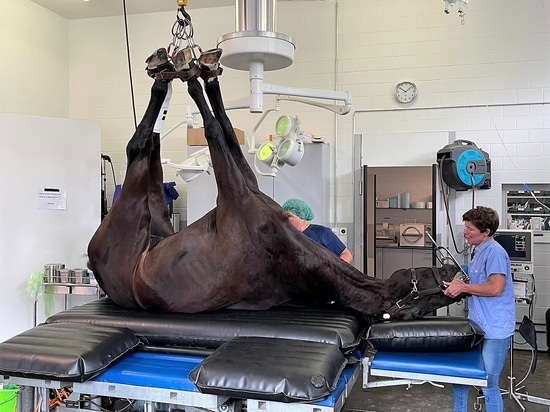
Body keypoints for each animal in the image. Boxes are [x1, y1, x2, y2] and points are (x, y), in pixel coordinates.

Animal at [88, 48, 464, 324]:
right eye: (429, 293)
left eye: (423, 304)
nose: (455, 271)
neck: (298, 261)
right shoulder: (248, 184)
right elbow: (227, 129)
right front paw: (205, 71)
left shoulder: (236, 194)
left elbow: (214, 129)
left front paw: (194, 76)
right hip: (153, 218)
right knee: (150, 147)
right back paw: (165, 64)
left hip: (132, 214)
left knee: (140, 146)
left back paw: (164, 74)